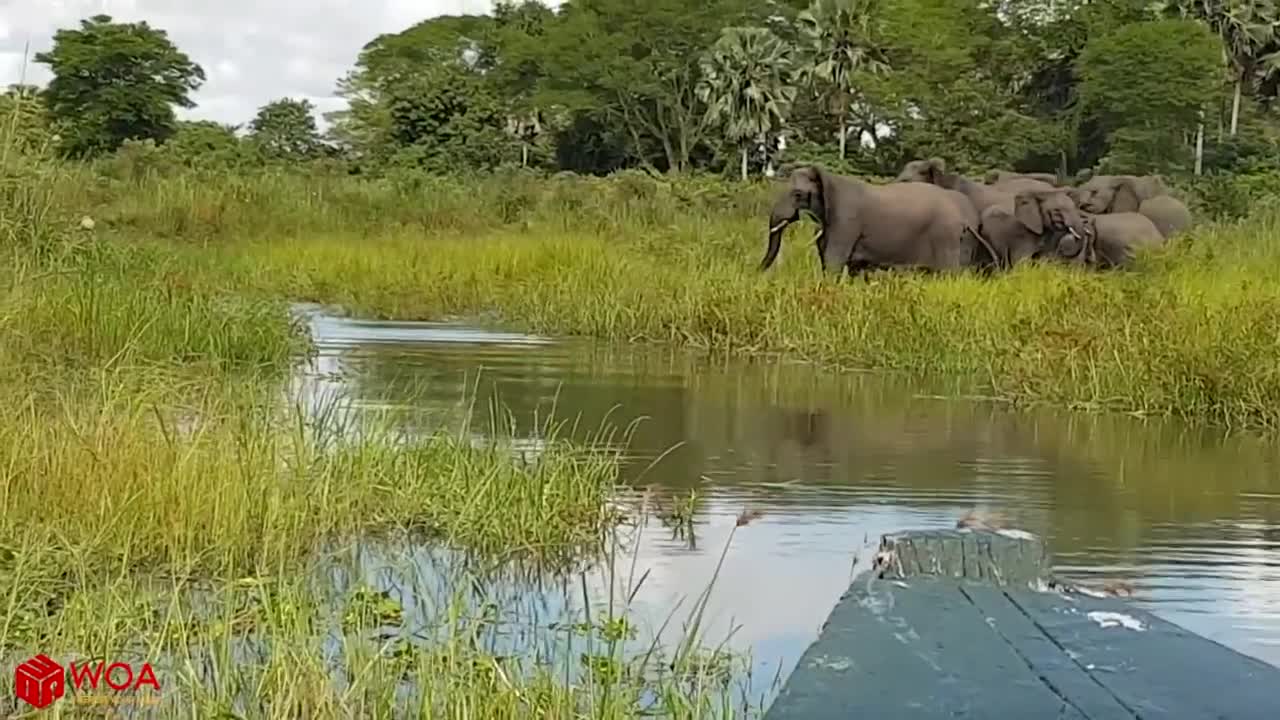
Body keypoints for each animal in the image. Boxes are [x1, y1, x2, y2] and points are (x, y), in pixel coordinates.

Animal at [757, 163, 998, 275]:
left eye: (798, 194)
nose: (756, 274)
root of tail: (966, 218)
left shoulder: (846, 219)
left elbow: (834, 262)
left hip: (946, 236)